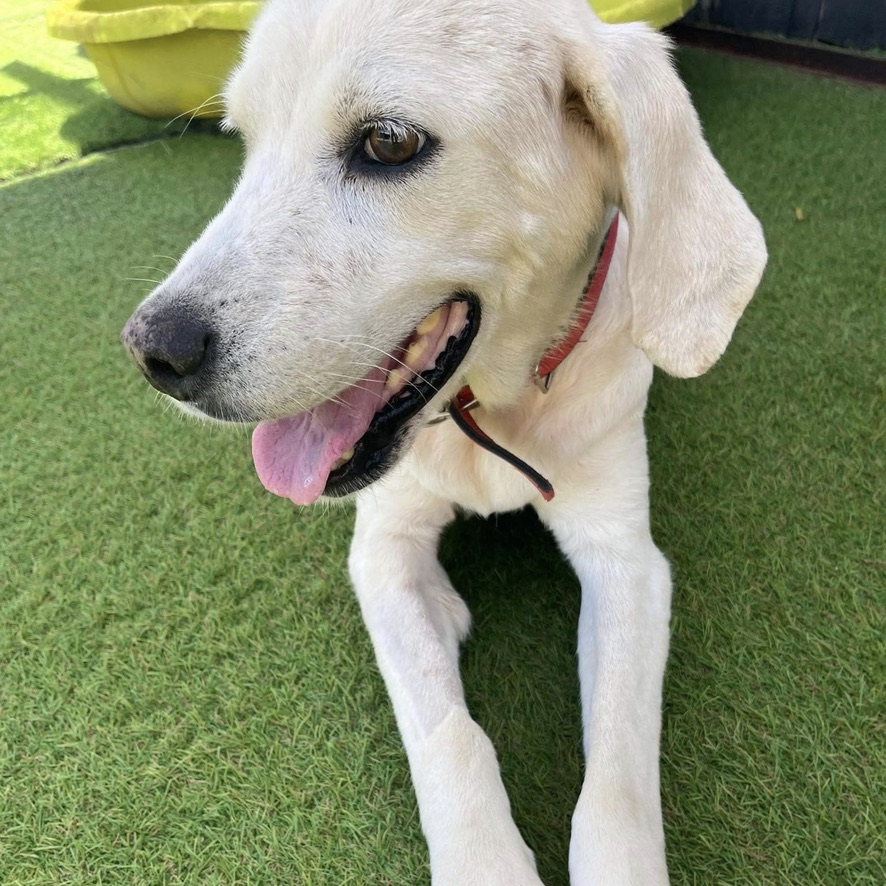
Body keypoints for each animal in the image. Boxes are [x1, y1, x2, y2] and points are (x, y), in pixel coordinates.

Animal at [121, 0, 768, 884]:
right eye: (243, 140)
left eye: (389, 143)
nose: (153, 351)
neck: (487, 415)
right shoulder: (383, 550)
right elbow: (449, 735)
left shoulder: (627, 559)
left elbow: (617, 779)